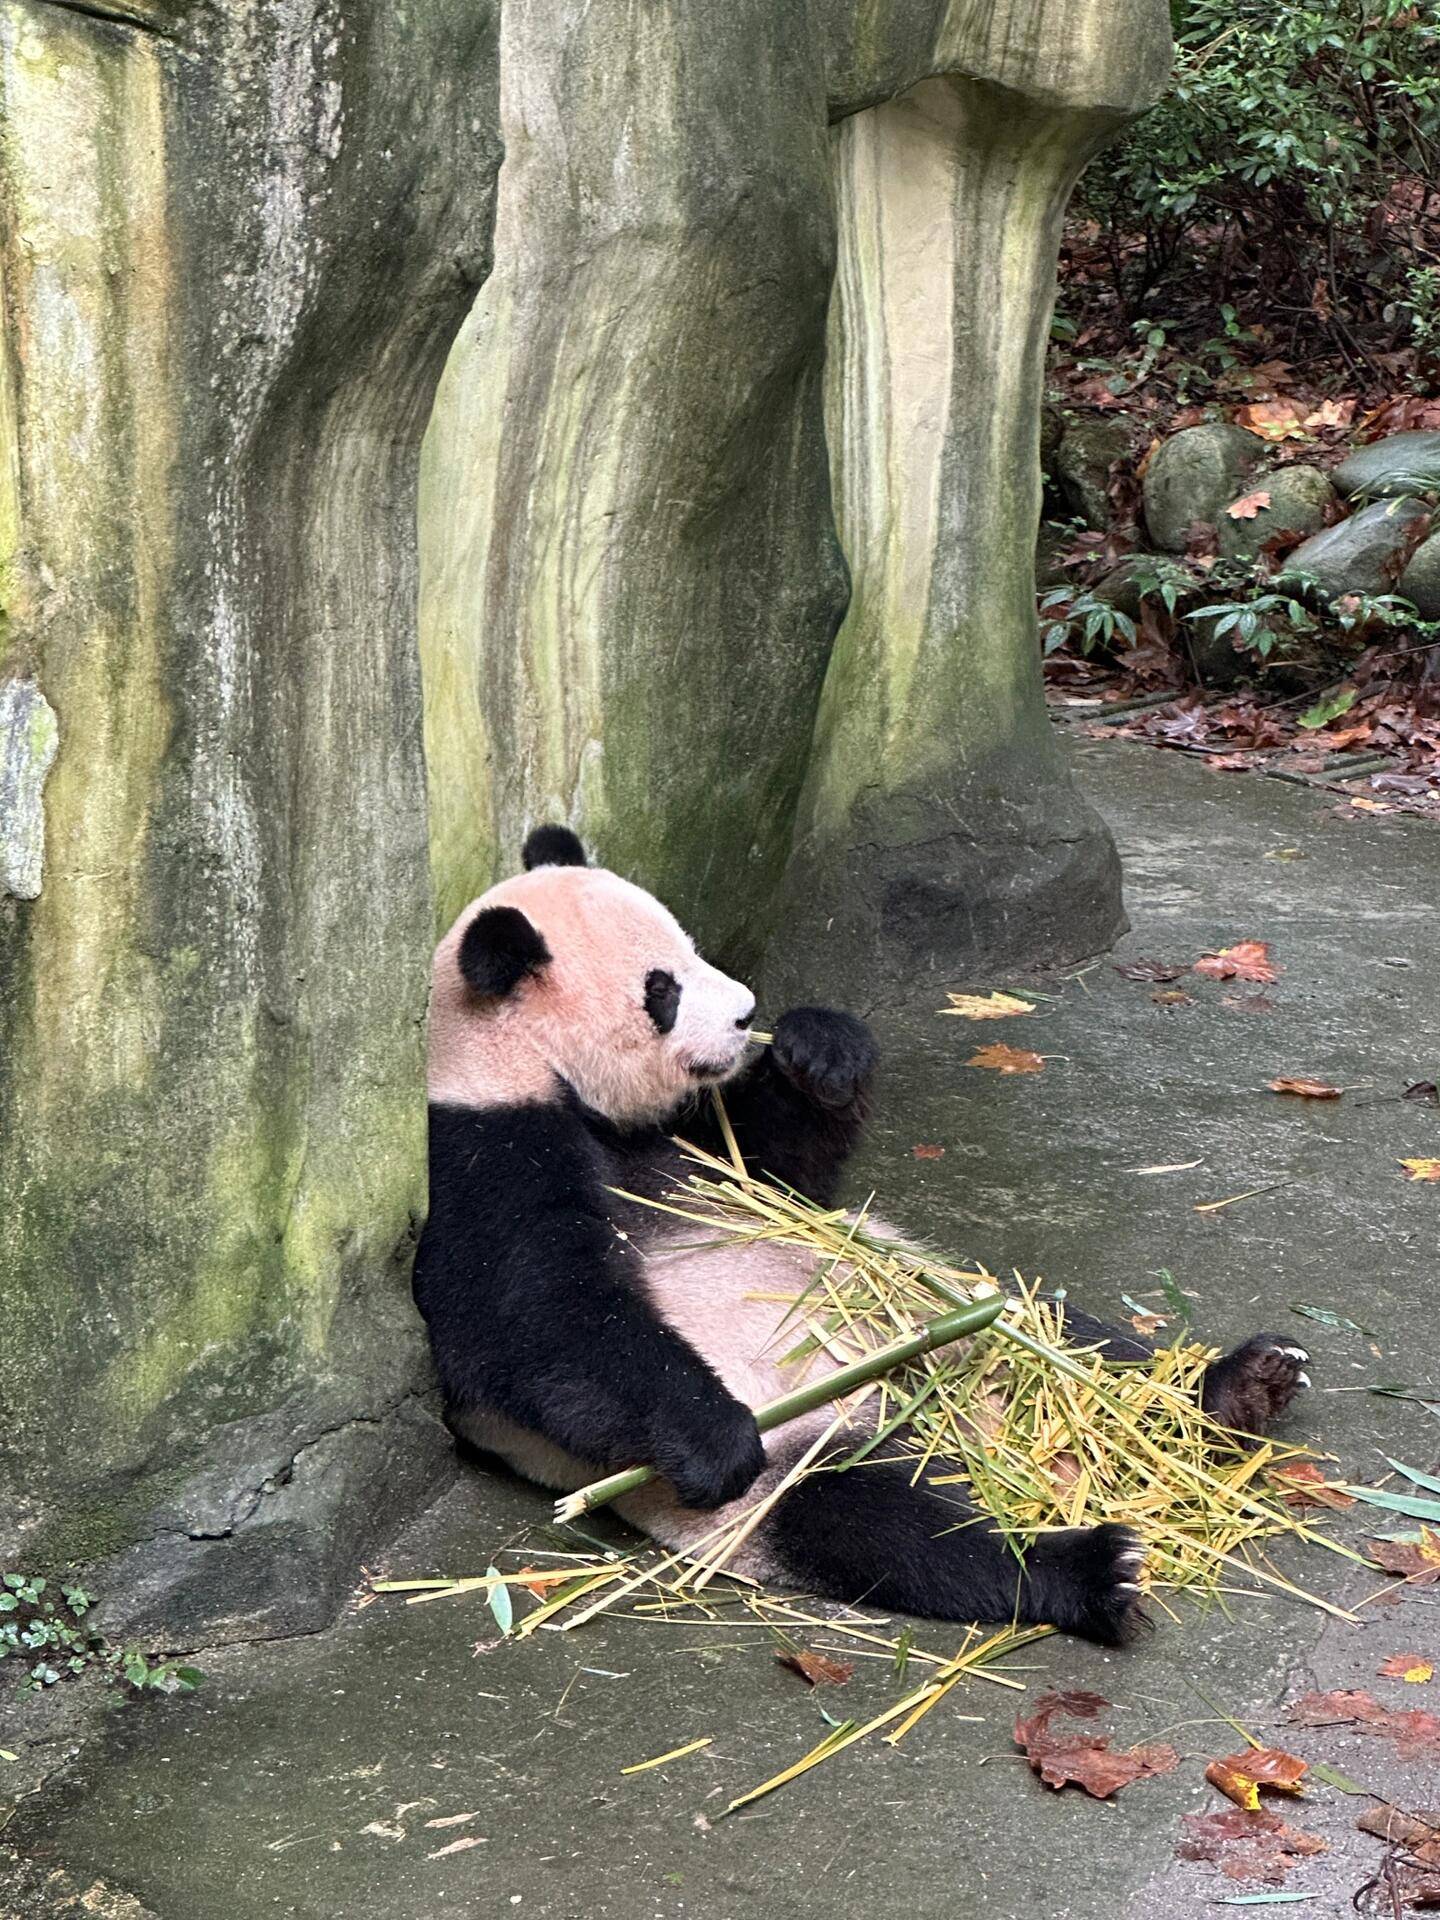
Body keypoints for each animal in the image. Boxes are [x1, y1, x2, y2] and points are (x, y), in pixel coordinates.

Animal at [410, 817, 1313, 1643]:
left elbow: (778, 1173)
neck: (525, 1068)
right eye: (661, 989)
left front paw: (819, 1049)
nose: (746, 1015)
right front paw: (711, 1437)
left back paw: (1236, 1387)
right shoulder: (479, 1151)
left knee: (1076, 1343)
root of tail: (941, 1416)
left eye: (692, 948)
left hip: (956, 1312)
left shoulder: (684, 1141)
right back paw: (1090, 1568)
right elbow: (527, 1319)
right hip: (797, 1464)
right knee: (889, 1530)